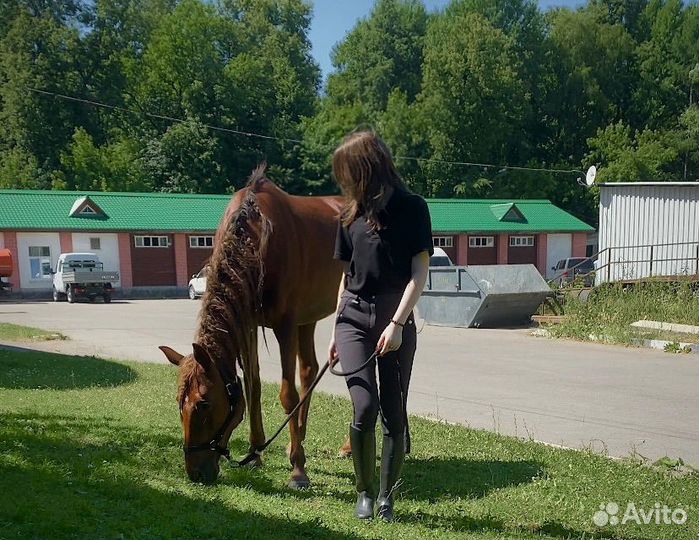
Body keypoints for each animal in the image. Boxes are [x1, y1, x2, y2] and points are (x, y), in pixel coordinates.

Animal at [159, 167, 344, 488]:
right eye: (179, 403)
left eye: (204, 404)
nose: (196, 473)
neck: (254, 242)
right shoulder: (248, 324)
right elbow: (253, 386)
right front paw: (257, 452)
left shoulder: (285, 325)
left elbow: (287, 394)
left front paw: (298, 470)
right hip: (307, 316)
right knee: (309, 370)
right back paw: (297, 439)